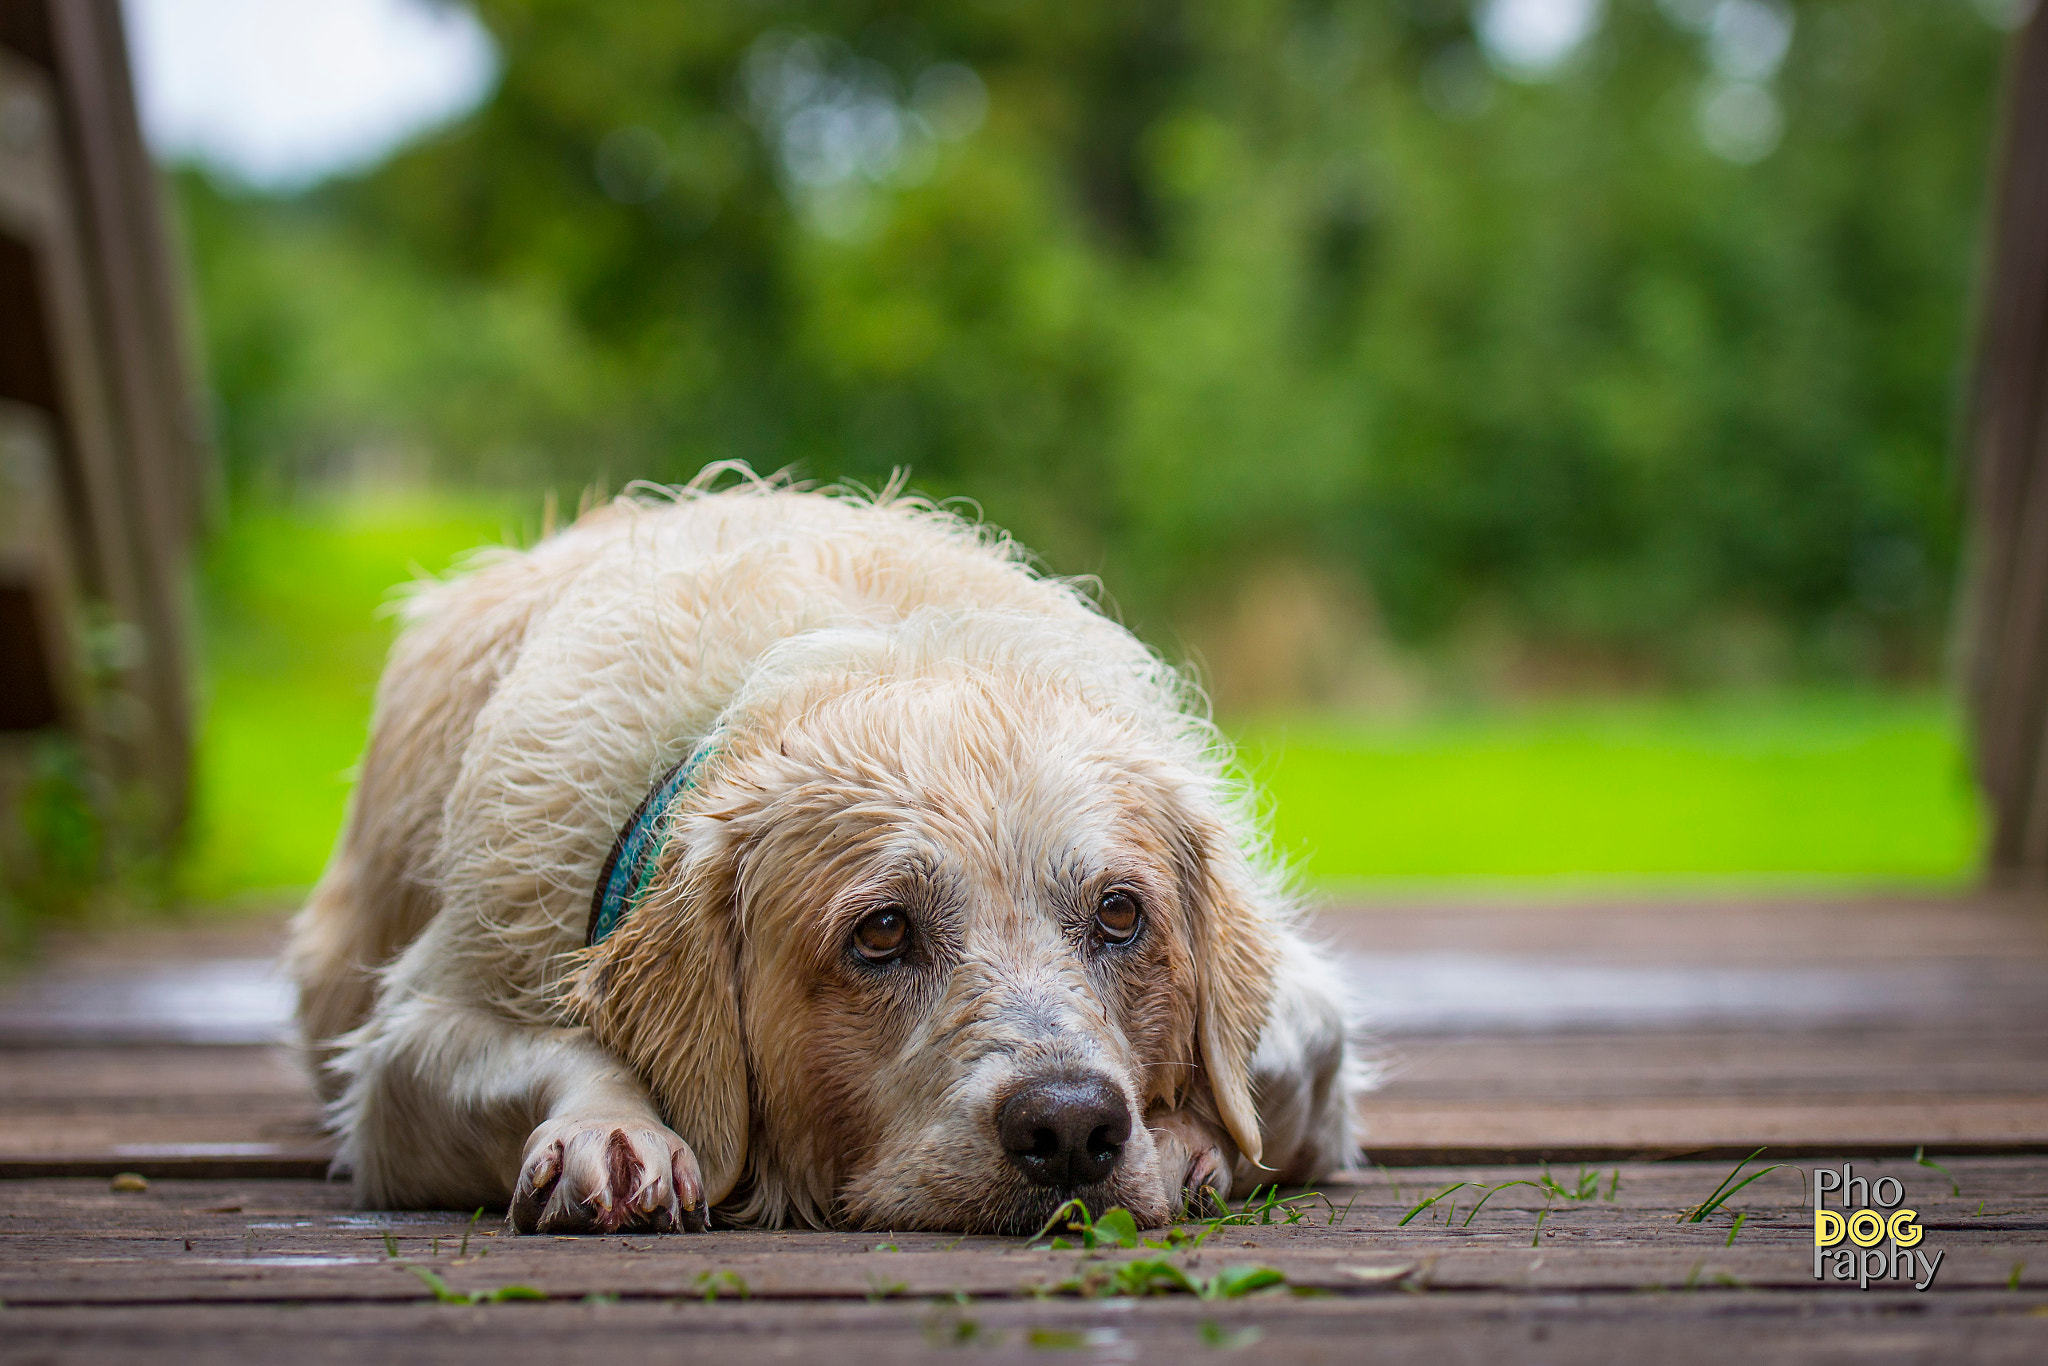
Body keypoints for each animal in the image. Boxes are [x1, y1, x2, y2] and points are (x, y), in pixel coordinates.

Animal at [280, 464, 1351, 1236]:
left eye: (1121, 915)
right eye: (880, 934)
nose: (1073, 1127)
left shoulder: (1306, 1003)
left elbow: (1273, 1060)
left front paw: (1186, 1140)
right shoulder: (399, 1065)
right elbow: (555, 1046)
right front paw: (608, 1126)